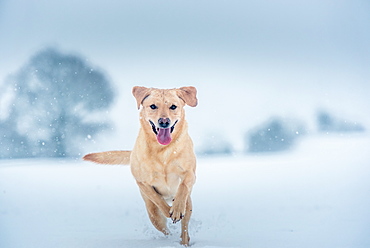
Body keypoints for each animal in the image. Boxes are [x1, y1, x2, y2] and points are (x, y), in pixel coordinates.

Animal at [83, 86, 198, 245]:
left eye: (173, 107)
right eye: (153, 106)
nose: (164, 121)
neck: (162, 150)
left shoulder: (190, 174)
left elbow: (183, 187)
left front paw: (176, 209)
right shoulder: (142, 182)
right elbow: (158, 200)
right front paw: (168, 210)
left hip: (190, 206)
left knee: (185, 227)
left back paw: (184, 241)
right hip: (153, 215)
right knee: (163, 227)